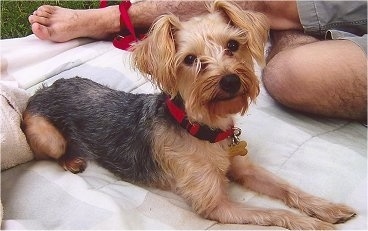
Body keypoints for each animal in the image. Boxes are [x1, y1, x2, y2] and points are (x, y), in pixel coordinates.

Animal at [21, 1, 356, 229]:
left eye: (233, 45)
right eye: (190, 60)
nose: (230, 80)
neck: (206, 130)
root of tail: (44, 89)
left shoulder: (244, 168)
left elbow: (286, 187)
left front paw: (326, 208)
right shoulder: (216, 206)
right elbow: (272, 212)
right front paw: (309, 223)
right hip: (48, 136)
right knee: (50, 152)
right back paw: (72, 160)